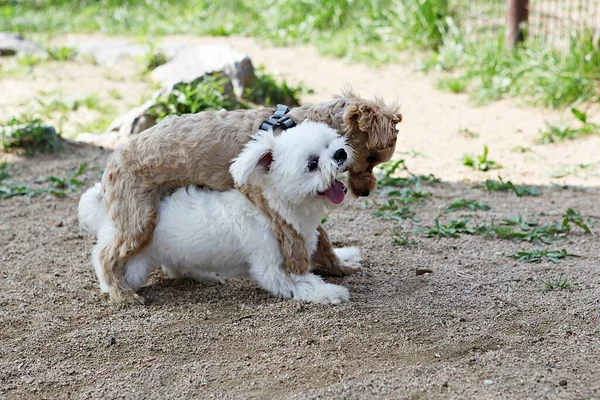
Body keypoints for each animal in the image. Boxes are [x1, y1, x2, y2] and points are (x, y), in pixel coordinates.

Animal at [98, 90, 400, 304]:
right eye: (372, 157)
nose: (366, 190)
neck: (291, 125)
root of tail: (113, 160)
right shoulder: (258, 192)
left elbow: (323, 238)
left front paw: (338, 265)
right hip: (140, 220)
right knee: (106, 255)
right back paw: (120, 293)